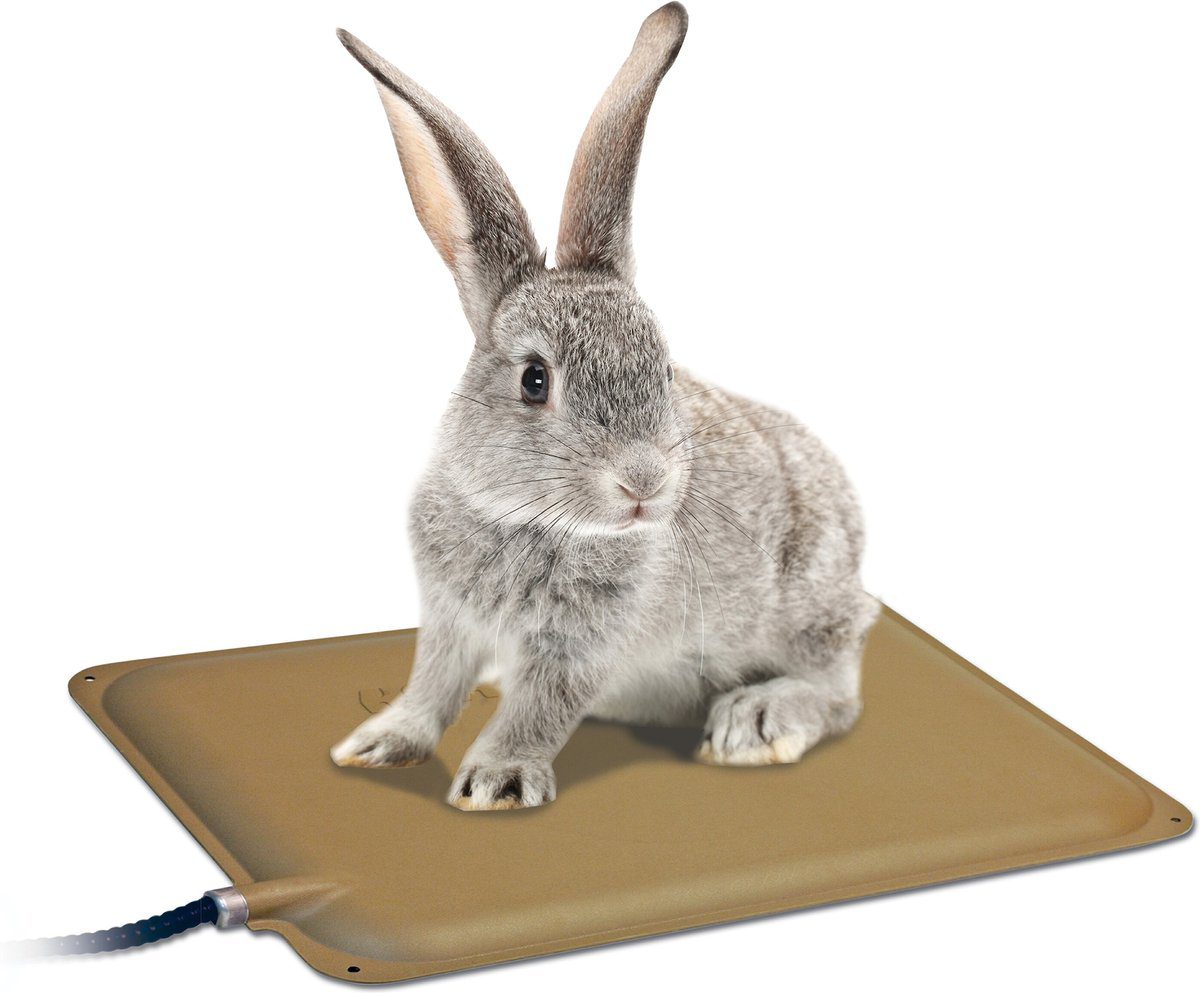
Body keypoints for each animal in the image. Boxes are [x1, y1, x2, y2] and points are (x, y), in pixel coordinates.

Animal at [330, 2, 879, 810]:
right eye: (534, 379)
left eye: (665, 369)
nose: (644, 481)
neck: (527, 518)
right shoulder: (450, 618)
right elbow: (433, 684)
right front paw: (377, 743)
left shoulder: (584, 644)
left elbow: (539, 707)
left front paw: (495, 781)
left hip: (809, 603)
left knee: (838, 691)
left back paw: (756, 720)